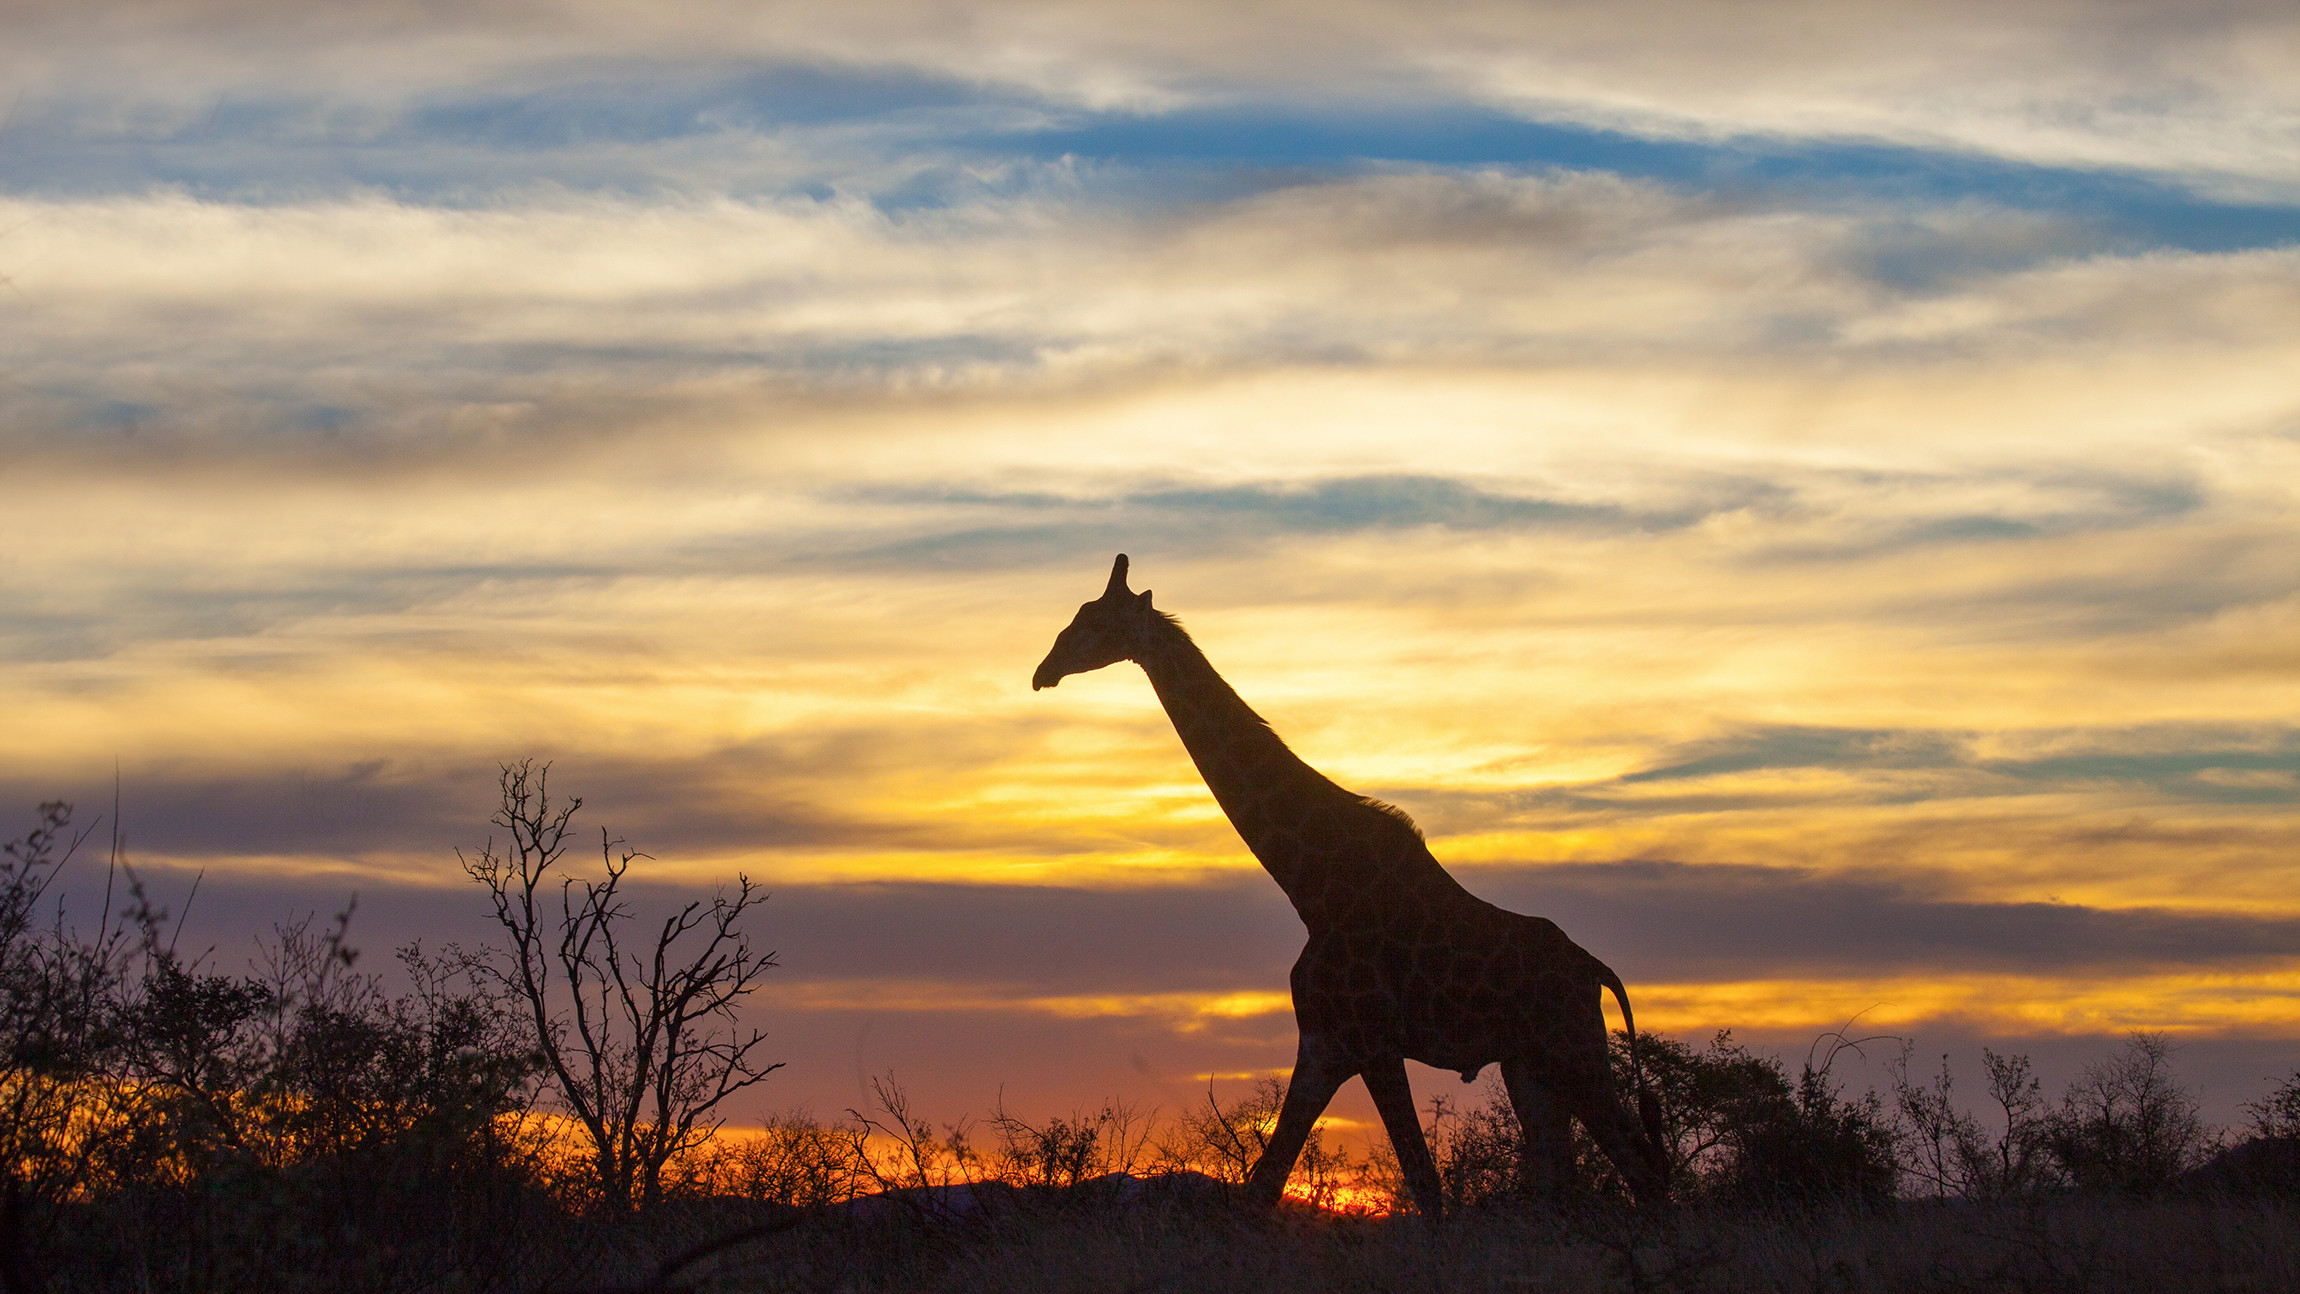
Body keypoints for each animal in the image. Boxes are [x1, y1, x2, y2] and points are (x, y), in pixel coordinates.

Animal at [1035, 553, 1665, 1213]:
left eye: (1094, 620)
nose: (1041, 672)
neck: (1310, 885)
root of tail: (1595, 970)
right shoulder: (1324, 1040)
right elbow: (1264, 1186)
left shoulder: (1373, 1038)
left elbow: (1425, 1184)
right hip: (1530, 1066)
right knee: (1561, 1183)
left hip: (1572, 1049)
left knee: (1644, 1171)